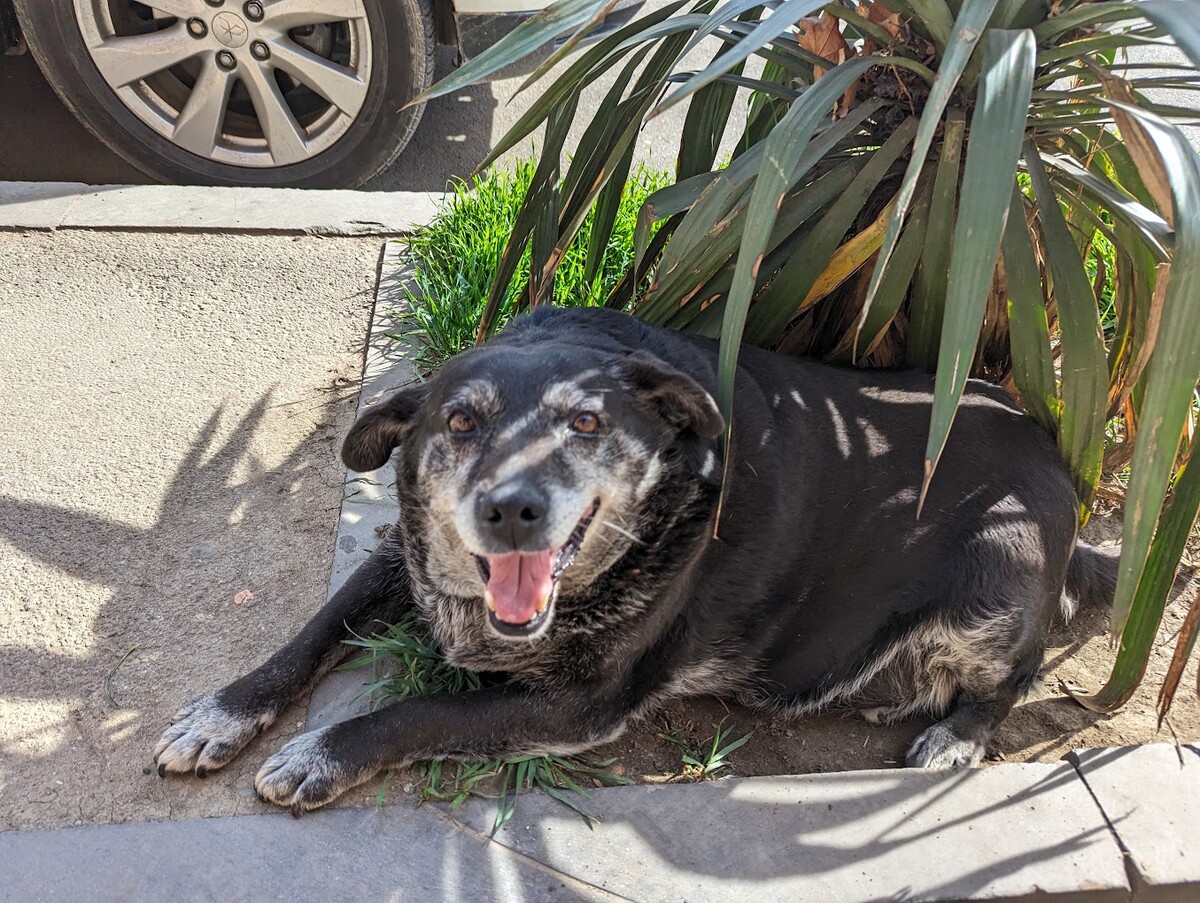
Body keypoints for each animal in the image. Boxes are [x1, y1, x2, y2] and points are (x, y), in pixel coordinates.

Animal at [154, 307, 1118, 816]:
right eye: (459, 421)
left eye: (586, 422)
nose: (511, 509)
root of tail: (1061, 469)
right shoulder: (406, 554)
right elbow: (313, 631)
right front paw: (222, 712)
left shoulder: (579, 702)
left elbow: (419, 710)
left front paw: (321, 753)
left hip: (996, 575)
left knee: (1020, 668)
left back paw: (957, 733)